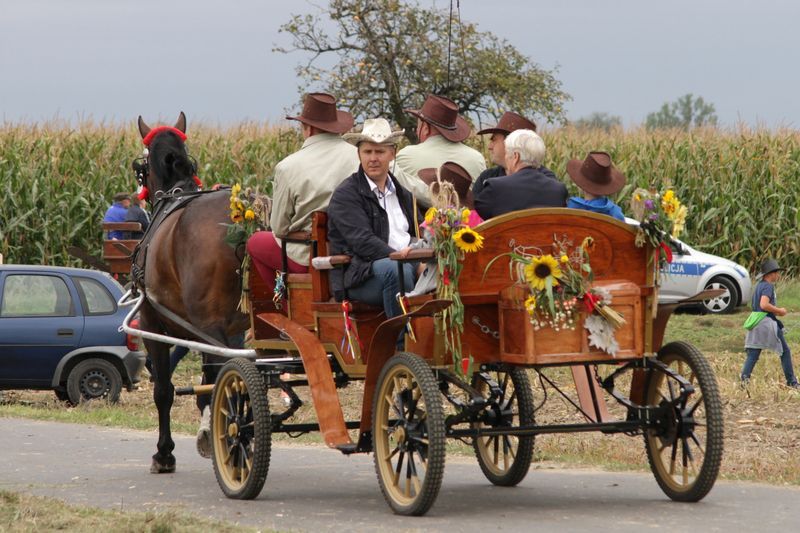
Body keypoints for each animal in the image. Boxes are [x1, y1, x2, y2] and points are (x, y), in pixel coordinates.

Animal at [134, 111, 250, 470]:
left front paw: (164, 452)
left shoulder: (152, 324)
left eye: (141, 166)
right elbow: (208, 383)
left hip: (207, 325)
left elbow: (164, 390)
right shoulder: (223, 328)